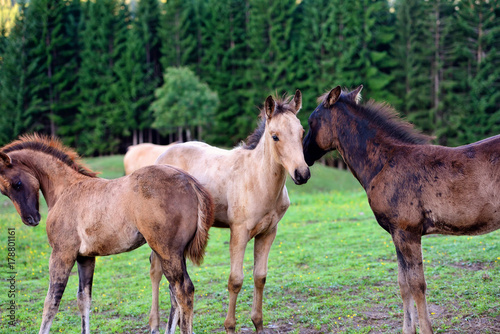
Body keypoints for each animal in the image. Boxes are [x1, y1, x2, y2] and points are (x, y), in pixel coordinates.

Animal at [0, 134, 213, 334]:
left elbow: (51, 302)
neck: (65, 190)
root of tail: (189, 181)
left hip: (167, 251)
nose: (31, 219)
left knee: (183, 291)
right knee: (175, 294)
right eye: (3, 192)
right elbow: (83, 299)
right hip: (177, 253)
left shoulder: (62, 253)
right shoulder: (85, 257)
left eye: (17, 183)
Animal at [150, 90, 310, 332]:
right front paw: (229, 326)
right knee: (155, 270)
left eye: (302, 132)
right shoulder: (239, 232)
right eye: (275, 136)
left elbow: (260, 277)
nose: (302, 174)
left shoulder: (268, 232)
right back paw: (154, 324)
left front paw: (258, 323)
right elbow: (235, 280)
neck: (258, 180)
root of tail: (161, 155)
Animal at [302, 86, 500, 334]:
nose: (304, 156)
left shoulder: (407, 231)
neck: (383, 163)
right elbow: (403, 283)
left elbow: (417, 284)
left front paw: (425, 329)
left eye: (311, 121)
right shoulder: (396, 233)